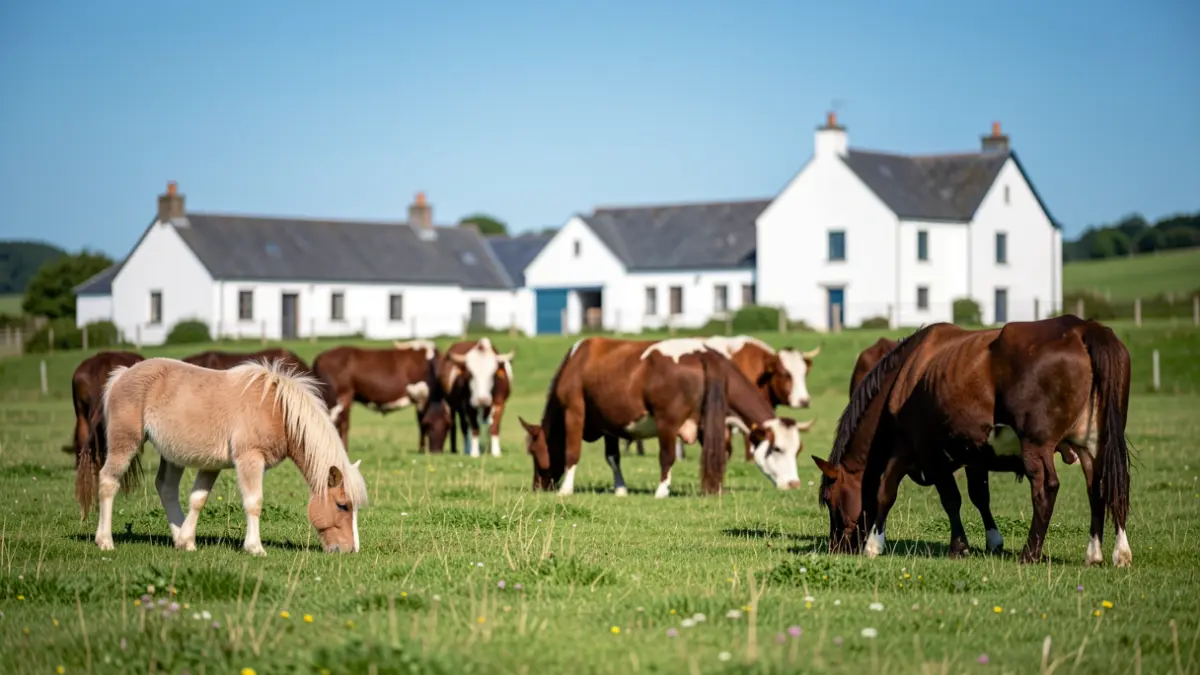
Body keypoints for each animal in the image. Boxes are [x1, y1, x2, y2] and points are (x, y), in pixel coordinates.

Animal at [96, 357, 368, 555]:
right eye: (342, 505)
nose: (350, 550)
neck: (277, 411)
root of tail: (123, 374)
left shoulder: (210, 465)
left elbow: (198, 499)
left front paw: (187, 541)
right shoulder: (250, 459)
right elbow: (254, 502)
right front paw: (255, 548)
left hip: (172, 455)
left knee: (166, 488)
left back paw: (177, 537)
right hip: (125, 442)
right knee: (108, 481)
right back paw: (105, 541)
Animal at [520, 337, 814, 498]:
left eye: (534, 452)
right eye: (779, 448)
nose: (794, 484)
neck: (576, 362)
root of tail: (703, 355)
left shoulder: (574, 411)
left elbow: (571, 452)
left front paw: (565, 489)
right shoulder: (609, 424)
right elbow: (613, 457)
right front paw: (620, 489)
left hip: (667, 423)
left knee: (667, 455)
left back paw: (661, 490)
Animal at [815, 316, 1132, 566]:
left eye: (830, 499)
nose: (835, 547)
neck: (903, 376)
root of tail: (1081, 328)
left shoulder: (918, 449)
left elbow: (908, 494)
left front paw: (876, 544)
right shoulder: (974, 451)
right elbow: (979, 495)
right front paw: (992, 539)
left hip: (1036, 444)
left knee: (1046, 488)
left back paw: (1030, 553)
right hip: (1095, 443)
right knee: (1103, 486)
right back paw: (1106, 553)